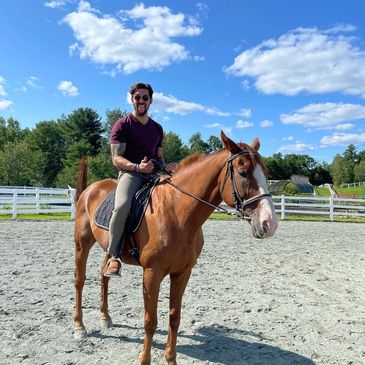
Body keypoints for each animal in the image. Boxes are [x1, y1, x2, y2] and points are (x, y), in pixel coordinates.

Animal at [72, 132, 278, 364]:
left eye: (266, 173)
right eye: (243, 173)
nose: (269, 223)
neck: (176, 213)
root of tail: (90, 189)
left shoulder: (182, 272)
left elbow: (174, 316)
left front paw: (171, 358)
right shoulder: (152, 273)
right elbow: (150, 321)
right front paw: (145, 359)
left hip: (109, 247)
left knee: (103, 275)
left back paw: (105, 317)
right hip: (81, 244)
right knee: (79, 281)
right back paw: (79, 327)